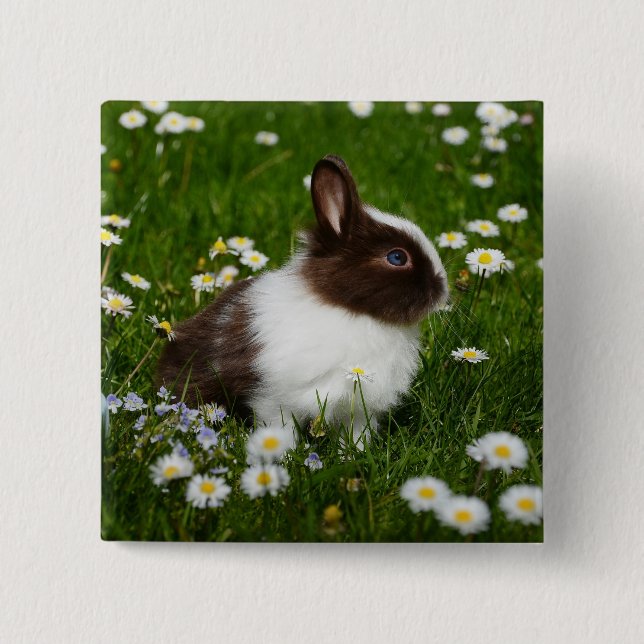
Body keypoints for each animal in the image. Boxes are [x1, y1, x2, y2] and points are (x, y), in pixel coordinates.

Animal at [156, 155, 448, 446]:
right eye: (397, 257)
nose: (443, 291)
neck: (351, 311)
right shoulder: (273, 398)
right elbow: (279, 428)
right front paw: (281, 452)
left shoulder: (358, 408)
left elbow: (355, 434)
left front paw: (354, 452)